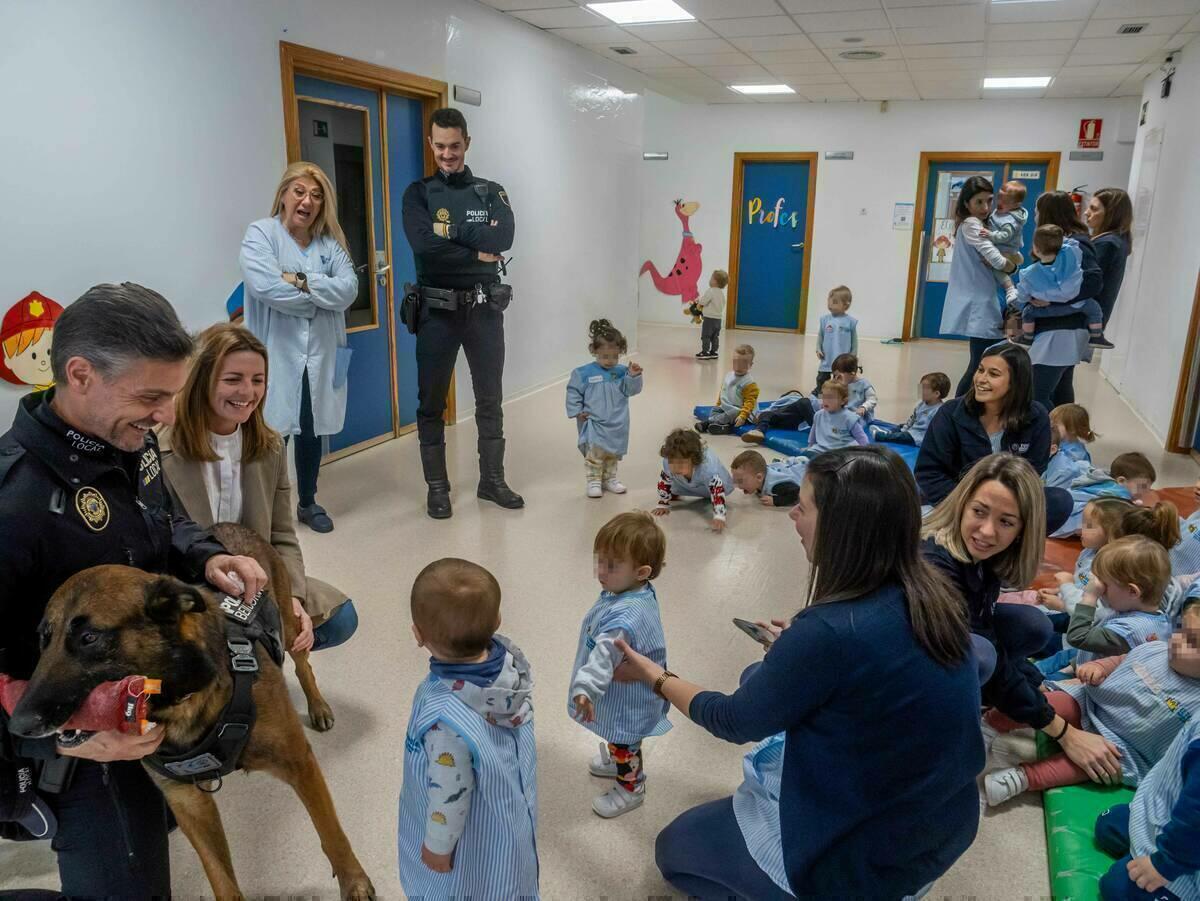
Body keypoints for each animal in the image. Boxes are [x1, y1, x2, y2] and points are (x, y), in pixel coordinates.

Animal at [7, 525, 374, 897]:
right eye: (43, 640)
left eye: (89, 638)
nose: (17, 725)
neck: (183, 699)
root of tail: (230, 525)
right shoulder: (189, 804)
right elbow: (221, 879)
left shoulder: (299, 764)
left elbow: (332, 834)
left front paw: (354, 882)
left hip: (290, 623)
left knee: (303, 664)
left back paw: (318, 706)